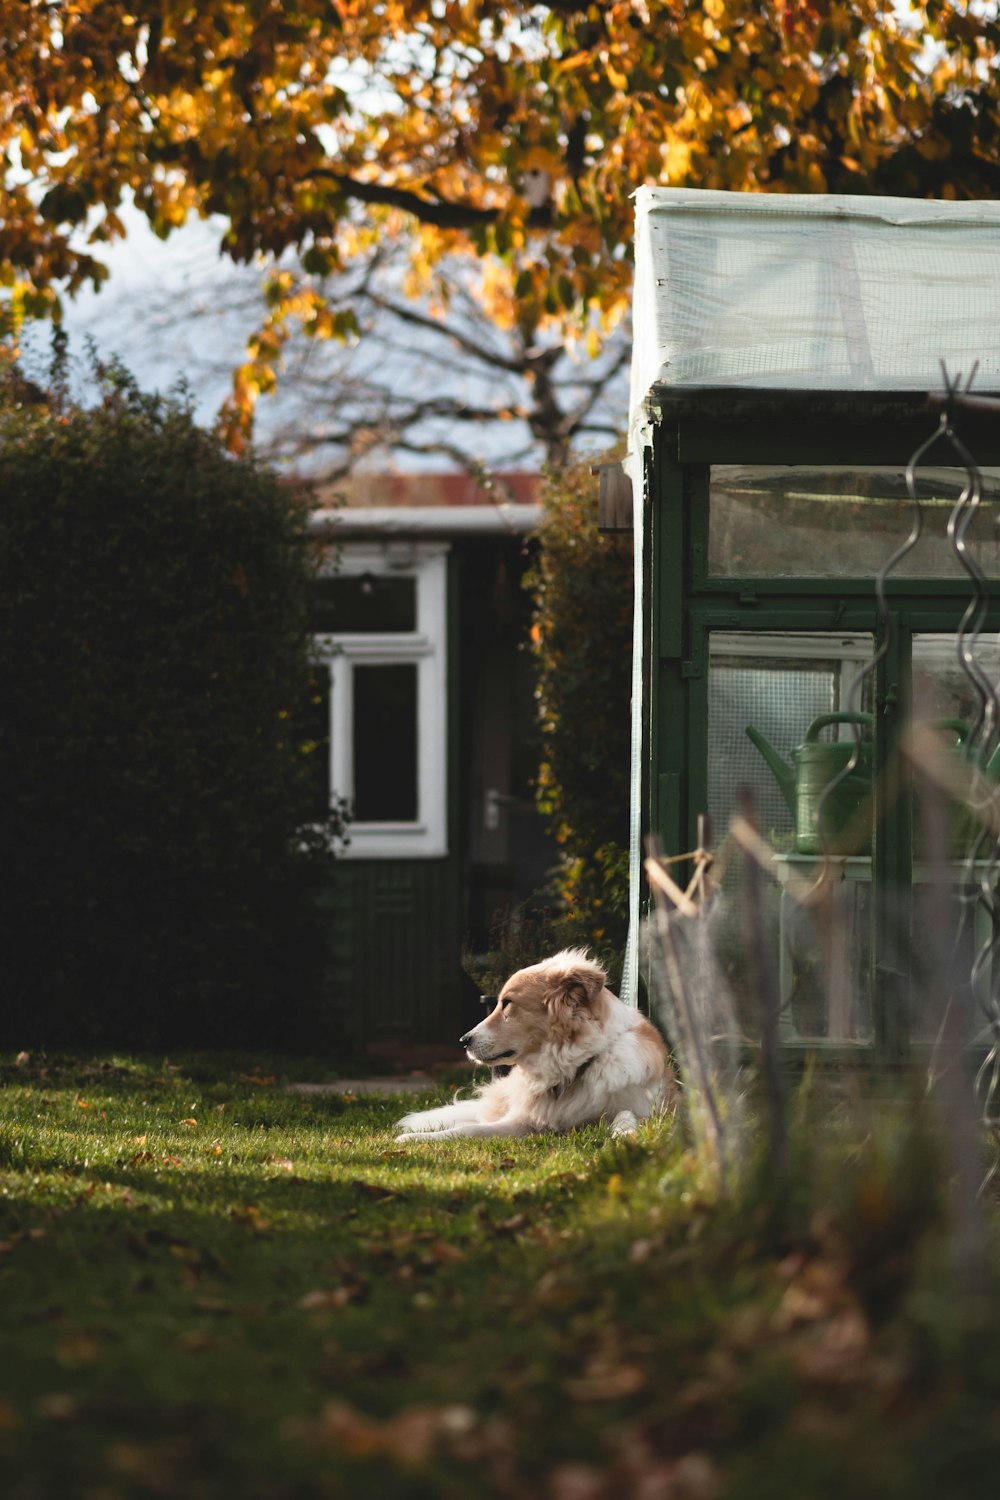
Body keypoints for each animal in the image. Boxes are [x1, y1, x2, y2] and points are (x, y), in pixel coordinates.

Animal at [395, 954, 677, 1140]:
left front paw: (624, 1132)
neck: (576, 1068)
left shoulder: (647, 1110)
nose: (464, 1041)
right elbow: (469, 1129)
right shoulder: (521, 1122)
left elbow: (626, 1115)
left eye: (507, 1003)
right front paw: (418, 1140)